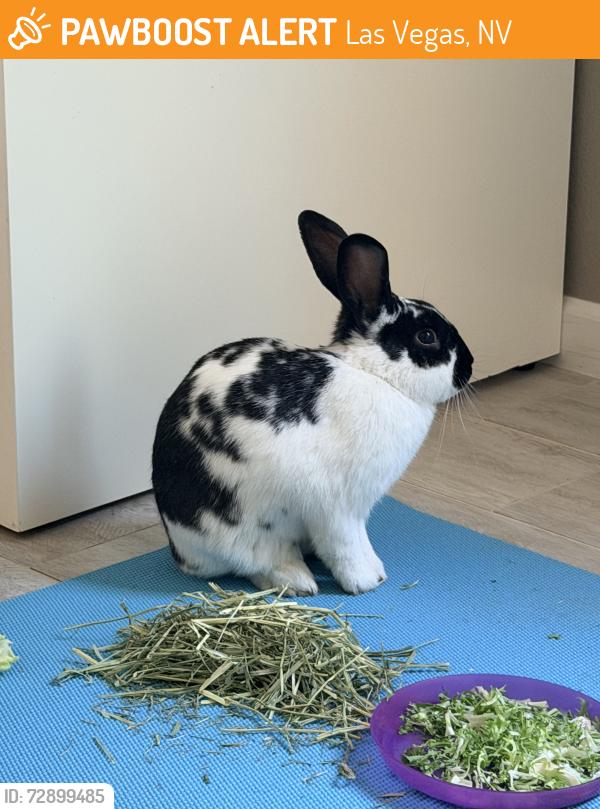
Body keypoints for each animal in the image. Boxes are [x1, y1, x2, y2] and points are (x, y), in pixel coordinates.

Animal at [152, 210, 473, 595]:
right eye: (427, 337)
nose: (470, 367)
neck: (374, 374)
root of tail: (180, 551)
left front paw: (374, 573)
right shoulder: (338, 508)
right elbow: (348, 544)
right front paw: (367, 580)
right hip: (249, 533)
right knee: (258, 564)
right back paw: (299, 581)